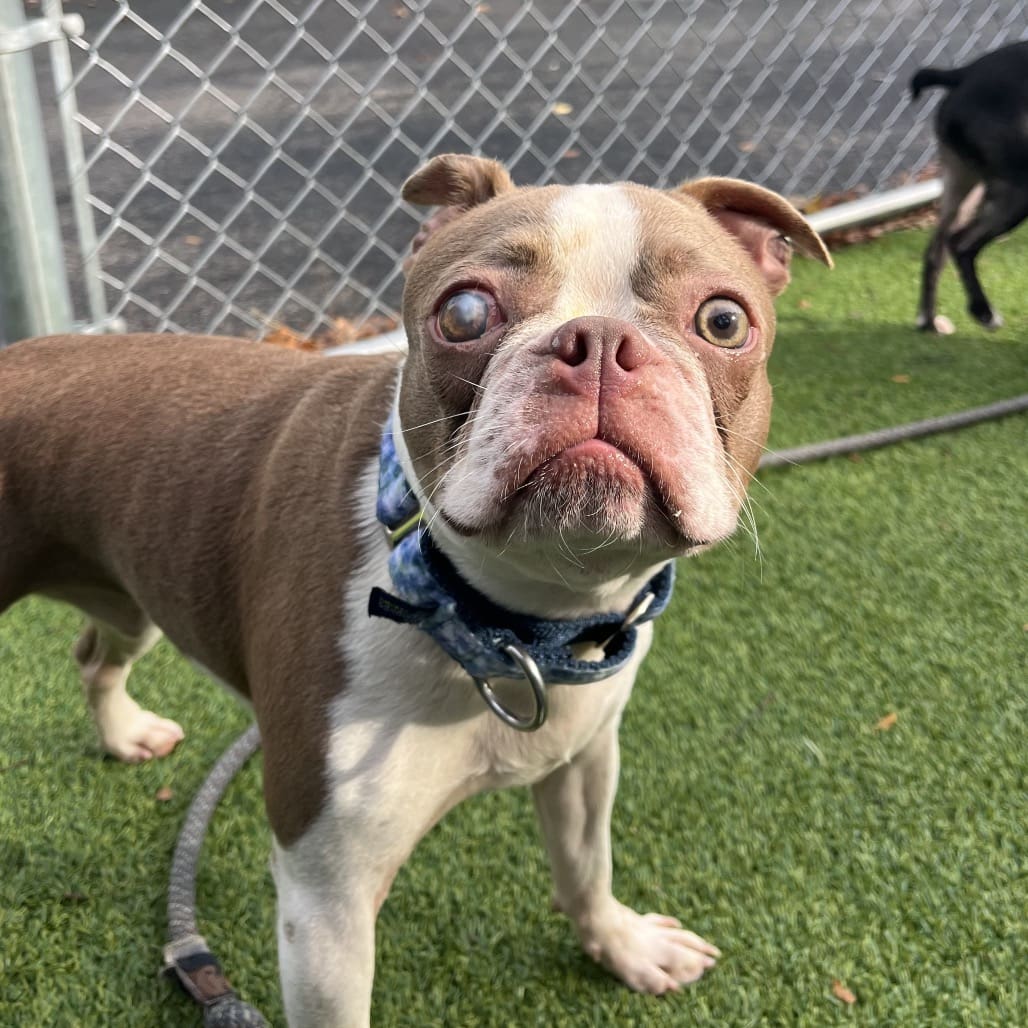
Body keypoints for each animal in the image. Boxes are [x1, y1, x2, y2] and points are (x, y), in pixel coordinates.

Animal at [0, 154, 830, 1026]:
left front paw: (622, 945)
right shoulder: (324, 898)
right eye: (464, 313)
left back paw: (124, 734)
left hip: (129, 592)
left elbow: (585, 866)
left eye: (725, 322)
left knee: (95, 654)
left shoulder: (584, 758)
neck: (514, 621)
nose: (600, 341)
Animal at [911, 40, 1028, 333]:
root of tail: (964, 73)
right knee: (961, 245)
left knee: (936, 251)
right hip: (1017, 191)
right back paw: (983, 312)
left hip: (962, 188)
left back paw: (929, 322)